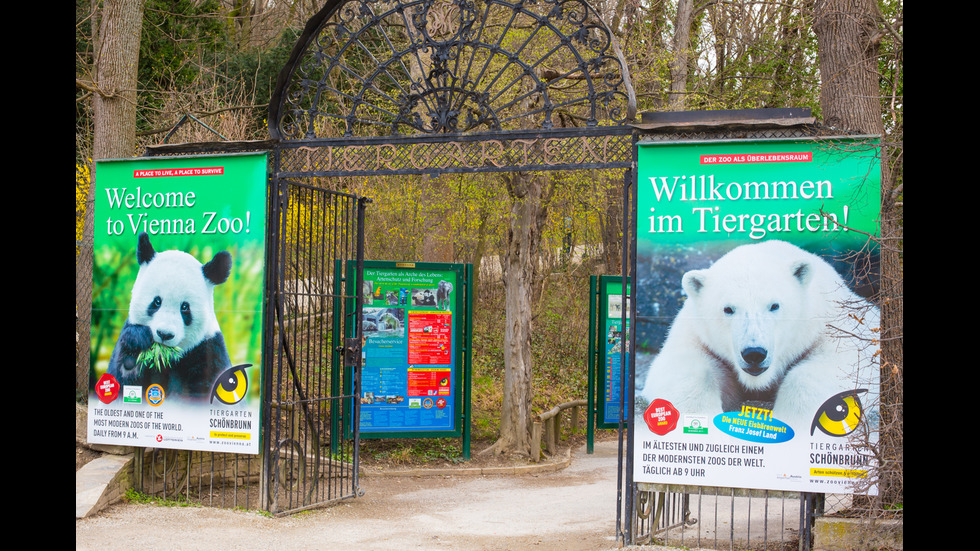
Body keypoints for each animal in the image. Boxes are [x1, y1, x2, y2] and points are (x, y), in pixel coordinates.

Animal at [106, 233, 234, 402]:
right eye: (157, 301)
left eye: (185, 307)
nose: (164, 334)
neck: (166, 357)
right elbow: (120, 381)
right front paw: (137, 341)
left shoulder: (210, 349)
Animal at [644, 240, 880, 426]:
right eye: (728, 309)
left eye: (774, 305)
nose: (754, 353)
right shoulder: (695, 333)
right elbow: (683, 368)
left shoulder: (834, 324)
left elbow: (842, 365)